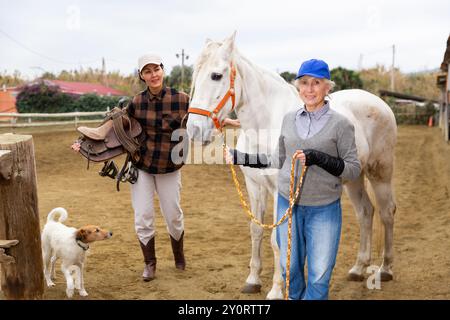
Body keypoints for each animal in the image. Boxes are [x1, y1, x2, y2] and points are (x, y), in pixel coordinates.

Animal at [186, 32, 398, 300]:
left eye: (216, 75)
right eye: (195, 76)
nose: (194, 130)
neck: (266, 126)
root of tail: (380, 103)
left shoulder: (281, 190)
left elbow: (277, 240)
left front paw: (277, 289)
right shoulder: (254, 186)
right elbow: (256, 230)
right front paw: (253, 280)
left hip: (380, 173)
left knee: (386, 212)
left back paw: (385, 269)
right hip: (354, 177)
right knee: (365, 212)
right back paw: (359, 268)